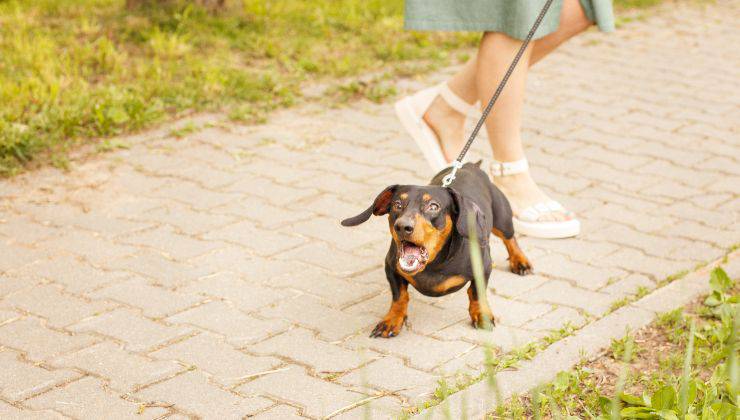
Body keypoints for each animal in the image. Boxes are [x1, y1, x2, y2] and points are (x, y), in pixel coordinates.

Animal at [342, 161, 532, 338]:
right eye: (397, 204)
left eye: (433, 206)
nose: (402, 227)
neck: (434, 263)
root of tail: (471, 165)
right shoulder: (391, 267)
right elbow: (400, 296)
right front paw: (392, 320)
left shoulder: (484, 266)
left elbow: (476, 292)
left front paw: (481, 314)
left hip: (502, 219)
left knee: (510, 238)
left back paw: (520, 261)